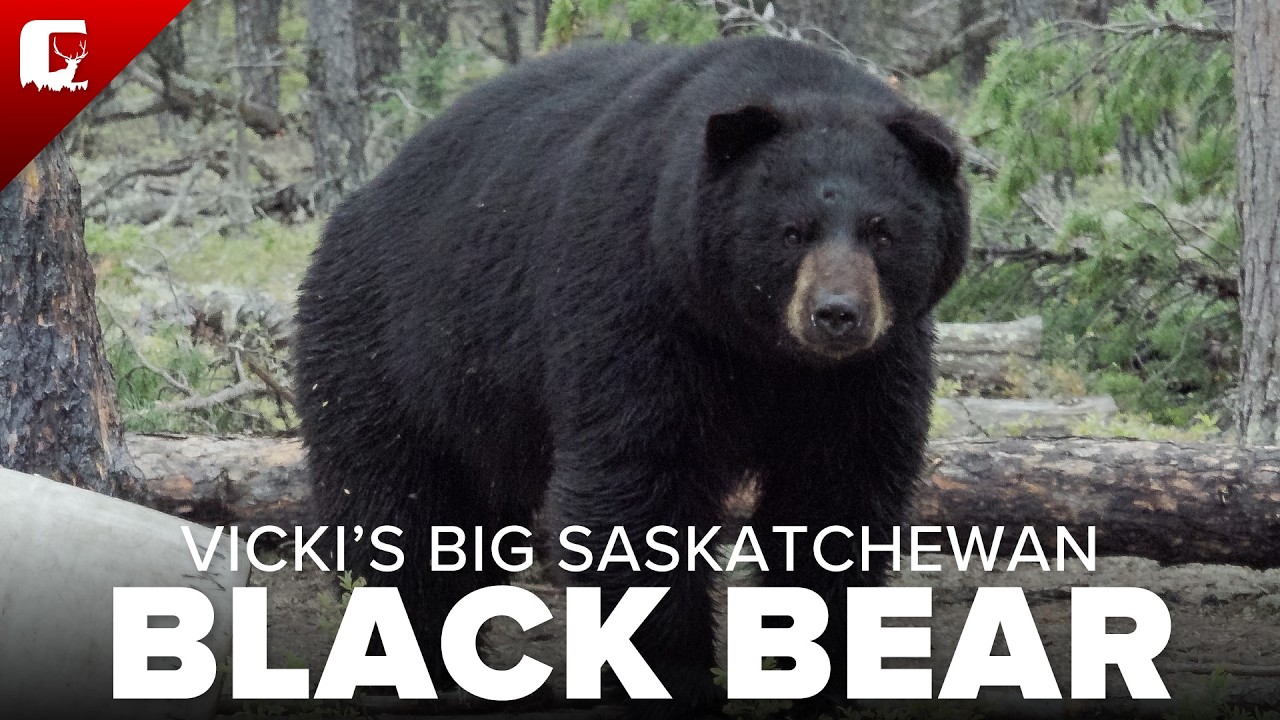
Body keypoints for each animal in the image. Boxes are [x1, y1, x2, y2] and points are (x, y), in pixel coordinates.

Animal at [294, 36, 968, 718]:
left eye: (883, 231)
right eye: (791, 231)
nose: (836, 314)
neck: (763, 349)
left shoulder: (870, 370)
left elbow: (838, 491)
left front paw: (820, 681)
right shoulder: (638, 299)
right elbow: (641, 479)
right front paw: (674, 679)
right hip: (393, 353)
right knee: (400, 510)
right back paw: (404, 664)